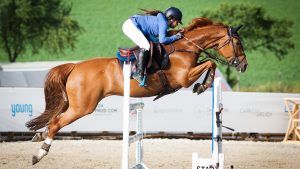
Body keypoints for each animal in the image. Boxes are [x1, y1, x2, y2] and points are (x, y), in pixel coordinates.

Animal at [25, 17, 247, 164]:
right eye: (237, 43)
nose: (244, 66)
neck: (186, 47)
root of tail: (75, 67)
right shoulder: (184, 78)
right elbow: (210, 63)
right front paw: (202, 86)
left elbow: (210, 63)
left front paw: (203, 85)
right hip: (82, 107)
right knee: (56, 123)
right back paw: (39, 154)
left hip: (73, 104)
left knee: (53, 118)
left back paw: (39, 136)